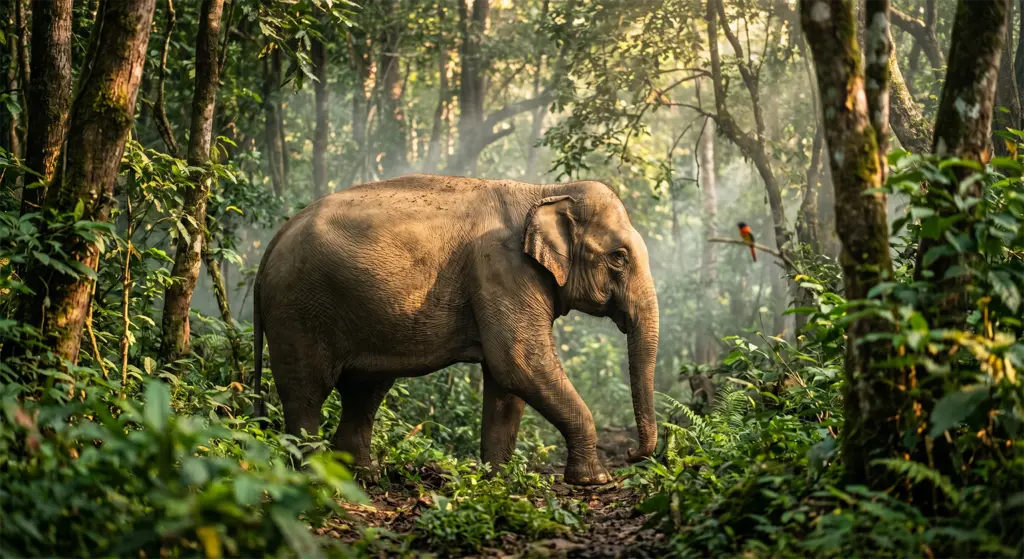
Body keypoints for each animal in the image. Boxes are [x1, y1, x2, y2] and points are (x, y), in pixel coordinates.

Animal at [252, 174, 659, 485]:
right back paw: (311, 478)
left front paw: (497, 481)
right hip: (298, 308)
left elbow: (506, 382)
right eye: (619, 258)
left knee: (363, 391)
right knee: (306, 391)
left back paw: (364, 477)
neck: (545, 190)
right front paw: (595, 481)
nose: (631, 452)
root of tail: (274, 240)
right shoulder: (502, 269)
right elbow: (520, 363)